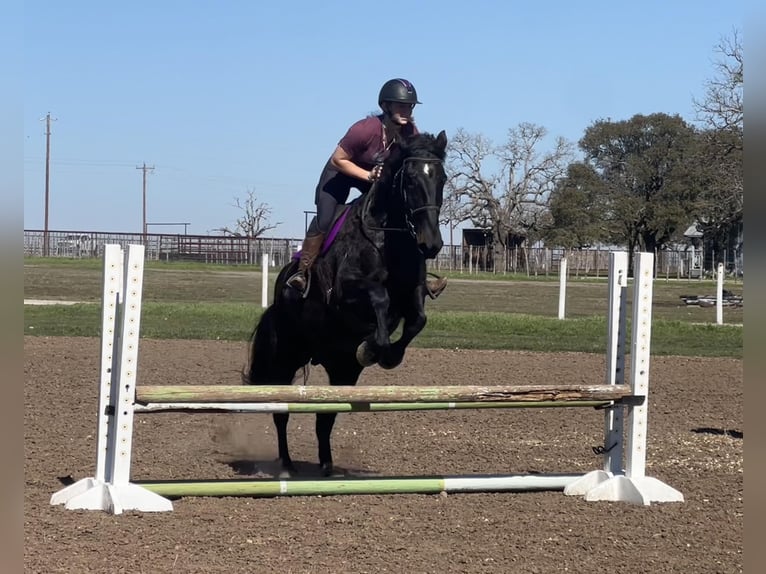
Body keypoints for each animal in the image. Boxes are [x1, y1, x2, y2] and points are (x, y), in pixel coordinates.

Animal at [246, 130, 450, 476]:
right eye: (409, 179)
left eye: (443, 178)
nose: (431, 244)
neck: (388, 238)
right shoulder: (346, 292)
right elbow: (379, 299)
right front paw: (373, 347)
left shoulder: (414, 293)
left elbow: (417, 319)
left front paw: (387, 353)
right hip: (286, 358)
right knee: (281, 411)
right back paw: (286, 465)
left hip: (342, 369)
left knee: (325, 418)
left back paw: (327, 466)